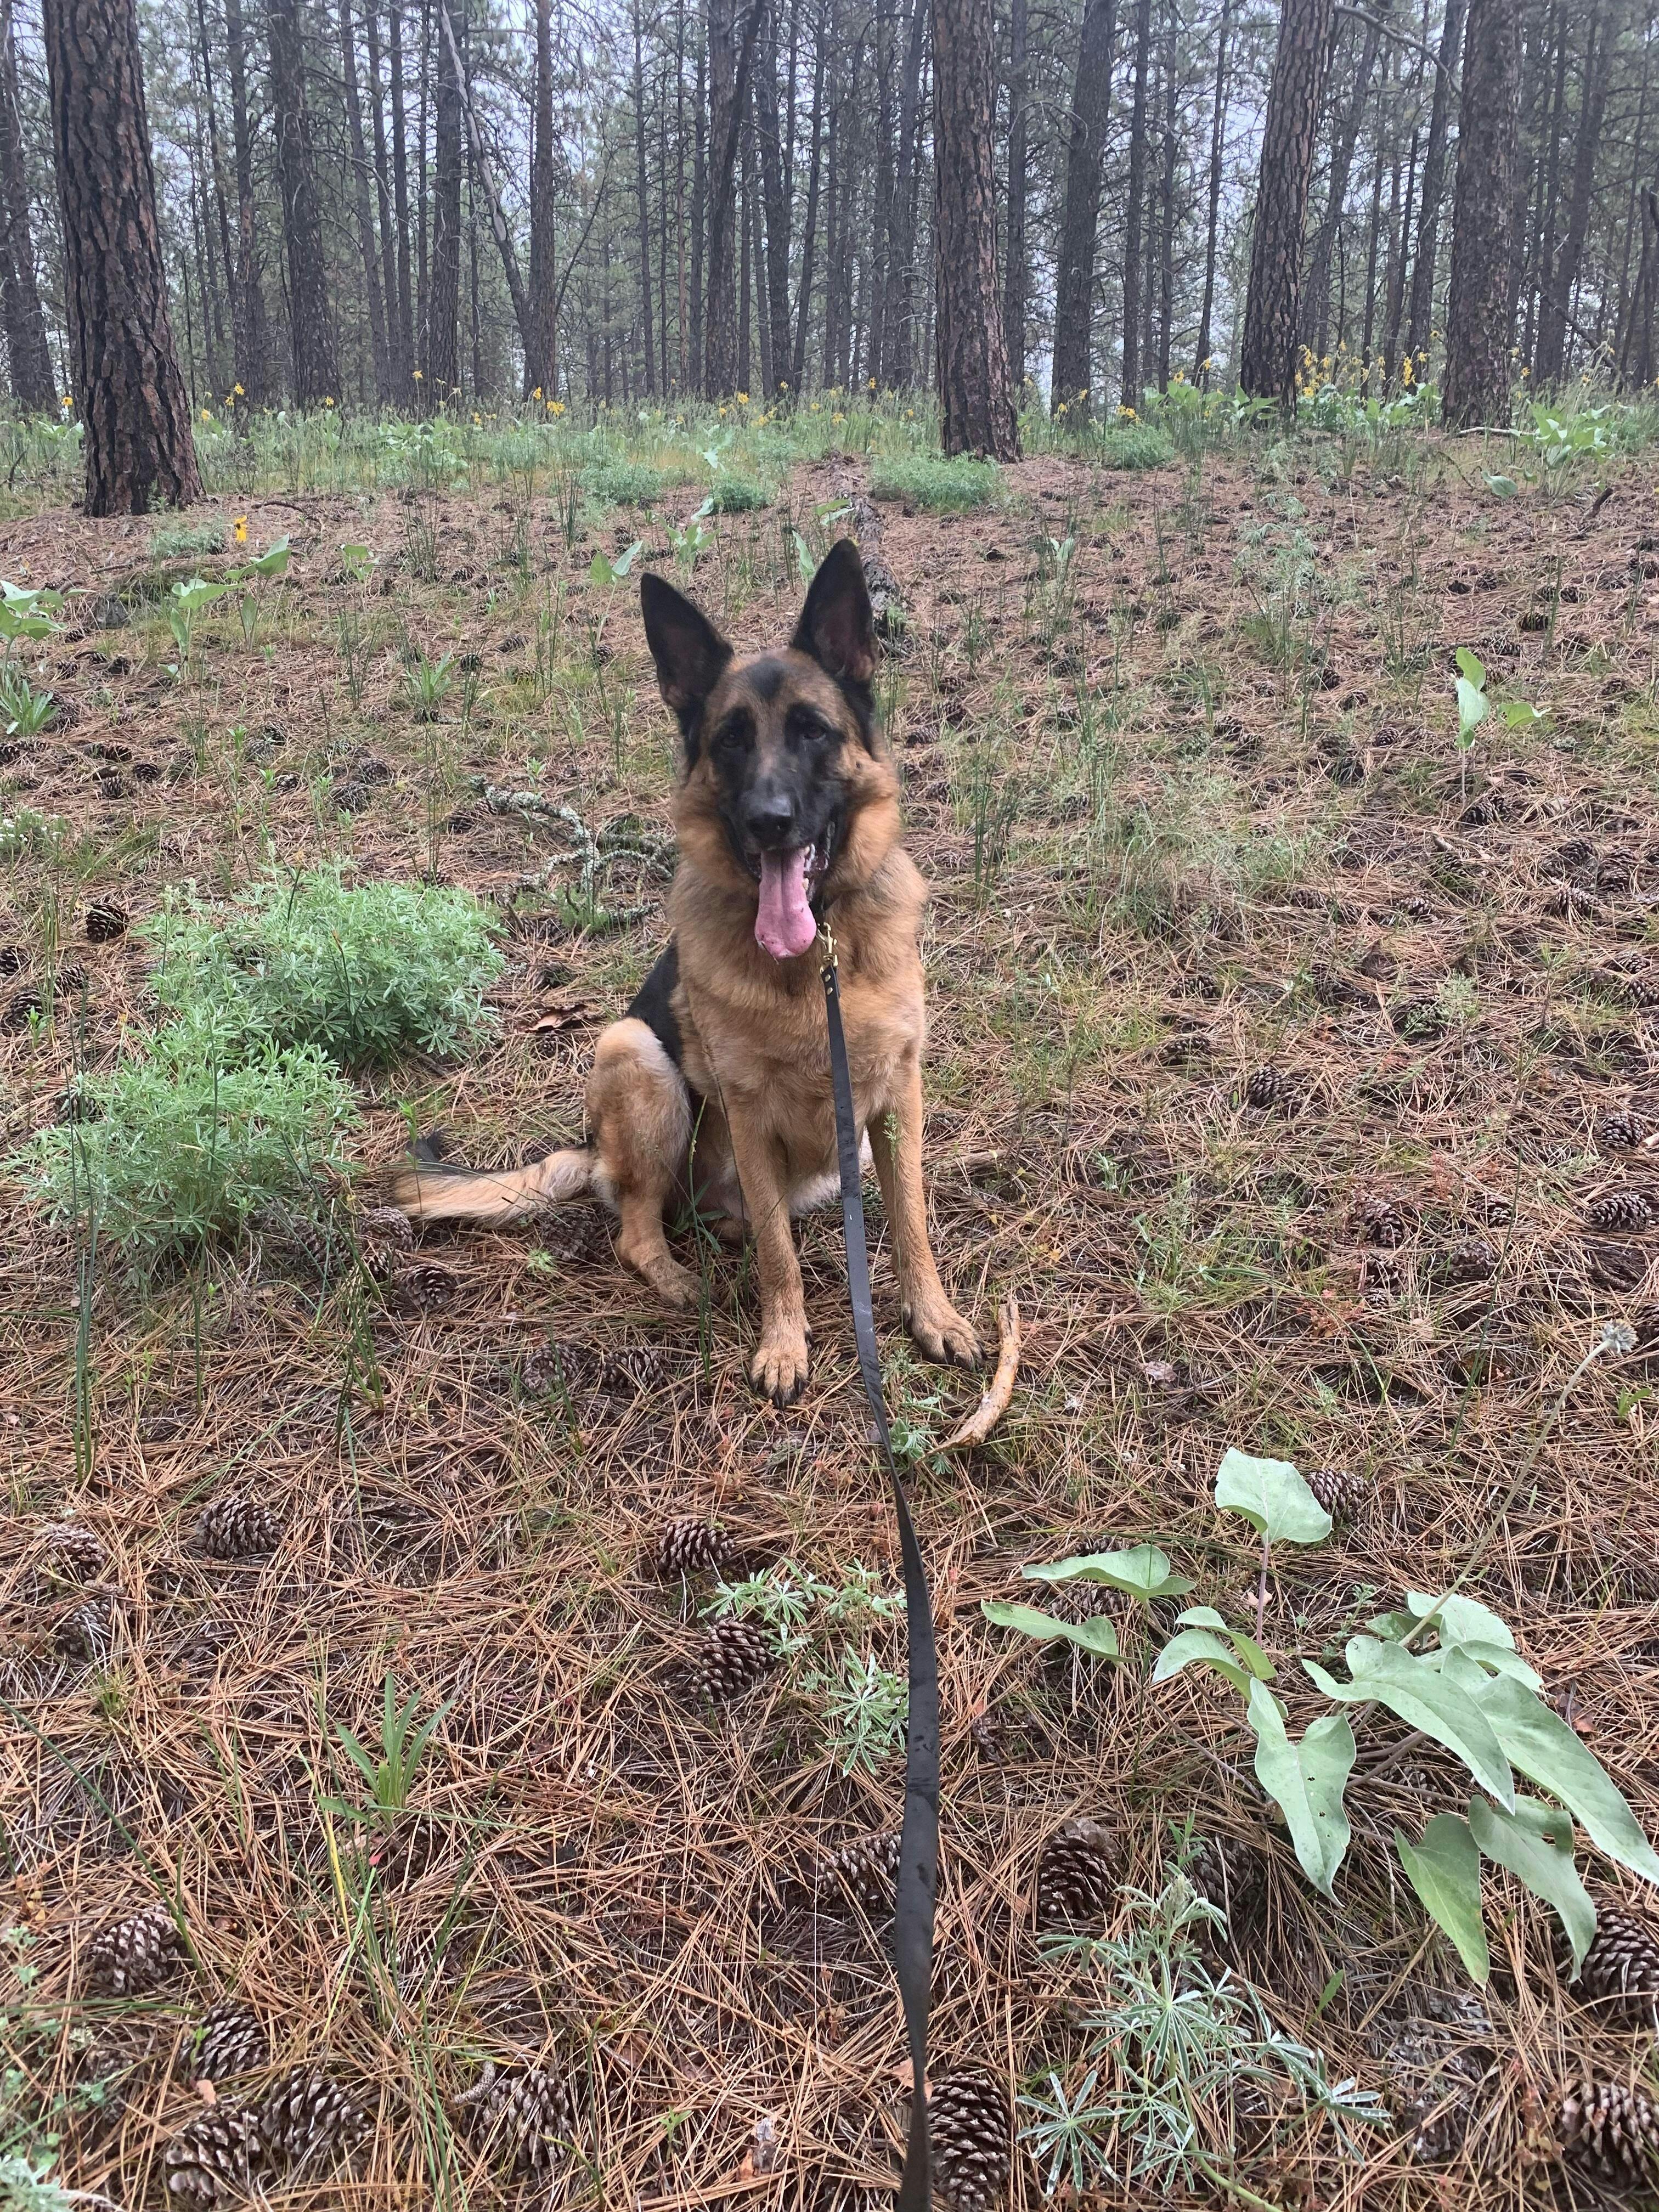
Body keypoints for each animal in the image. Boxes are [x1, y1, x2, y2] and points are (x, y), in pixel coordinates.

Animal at [394, 538, 978, 1404]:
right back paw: (679, 1279)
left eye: (812, 731)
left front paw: (932, 1316)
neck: (813, 965)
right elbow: (779, 1256)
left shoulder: (896, 1101)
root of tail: (589, 1152)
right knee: (641, 1230)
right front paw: (783, 1344)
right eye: (730, 740)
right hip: (634, 1053)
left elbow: (910, 1222)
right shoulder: (750, 1112)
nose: (770, 822)